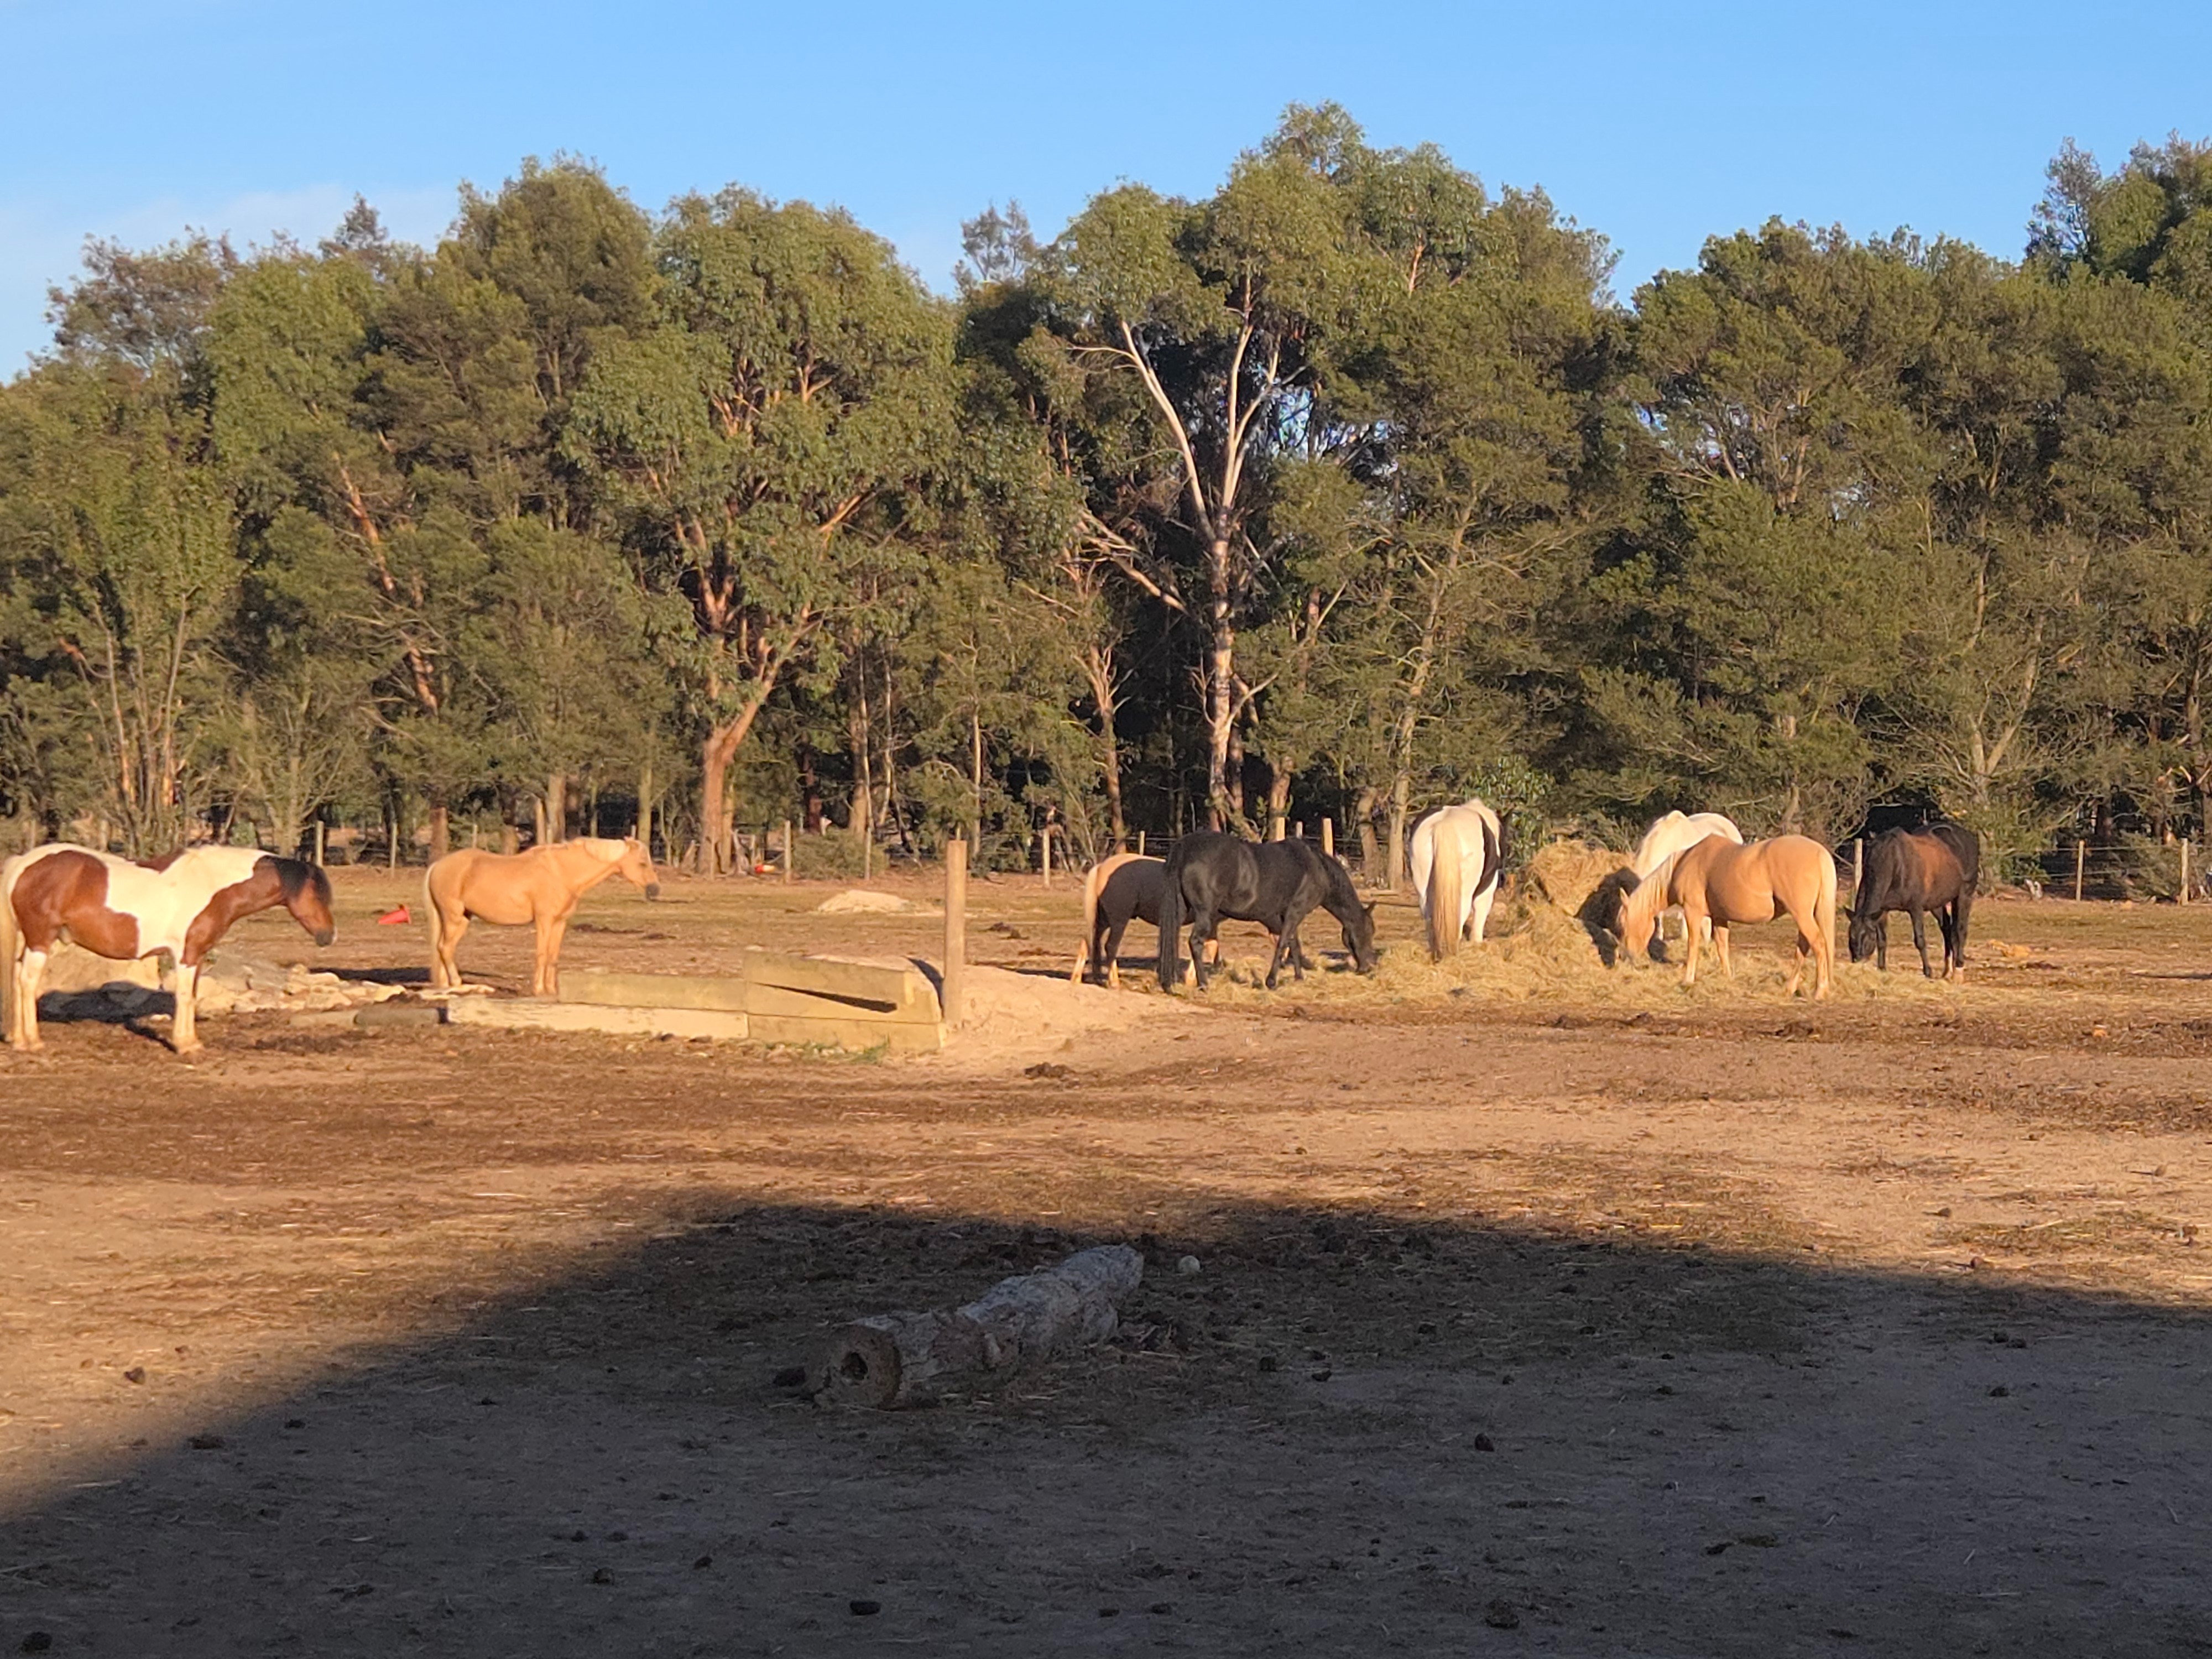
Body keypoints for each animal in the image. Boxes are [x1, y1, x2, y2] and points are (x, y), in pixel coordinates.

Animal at [1, 843, 336, 1055]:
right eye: (315, 893)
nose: (328, 936)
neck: (211, 886)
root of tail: (22, 863)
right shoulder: (186, 956)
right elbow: (185, 997)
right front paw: (185, 1045)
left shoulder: (197, 955)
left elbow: (192, 997)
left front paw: (191, 1042)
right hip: (40, 940)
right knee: (27, 982)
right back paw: (33, 1042)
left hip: (28, 940)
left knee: (17, 979)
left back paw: (18, 1039)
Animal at [425, 836, 659, 998]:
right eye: (642, 863)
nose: (655, 890)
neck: (563, 873)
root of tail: (437, 865)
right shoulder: (544, 921)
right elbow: (542, 954)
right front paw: (538, 990)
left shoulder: (559, 923)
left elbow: (553, 956)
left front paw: (551, 990)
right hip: (454, 918)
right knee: (446, 948)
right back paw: (457, 984)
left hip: (460, 919)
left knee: (443, 949)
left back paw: (447, 987)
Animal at [1157, 833, 1376, 992]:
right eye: (1369, 931)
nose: (1367, 967)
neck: (1317, 868)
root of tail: (1185, 847)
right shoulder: (1296, 911)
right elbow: (1284, 943)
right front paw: (1272, 982)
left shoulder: (1282, 916)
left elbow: (1293, 943)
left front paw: (1299, 977)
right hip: (1204, 913)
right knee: (1195, 942)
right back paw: (1204, 984)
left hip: (1181, 910)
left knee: (1173, 938)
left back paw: (1170, 982)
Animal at [1614, 833, 1838, 999]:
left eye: (1623, 924)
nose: (1626, 956)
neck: (1686, 862)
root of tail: (1820, 853)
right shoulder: (1719, 917)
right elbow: (1722, 947)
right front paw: (1728, 977)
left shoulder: (1693, 913)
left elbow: (1693, 947)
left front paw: (1688, 980)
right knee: (1804, 946)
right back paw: (1790, 988)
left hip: (1802, 915)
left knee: (1818, 944)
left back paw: (1819, 991)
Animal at [1848, 823, 1979, 979]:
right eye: (1851, 937)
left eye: (1867, 937)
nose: (1857, 961)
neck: (1894, 863)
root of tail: (1969, 838)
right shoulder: (1882, 910)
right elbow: (1882, 940)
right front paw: (1882, 969)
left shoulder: (1916, 908)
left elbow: (1920, 940)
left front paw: (1928, 971)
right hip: (1937, 902)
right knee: (1947, 928)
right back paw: (1948, 969)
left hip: (1964, 895)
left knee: (1960, 929)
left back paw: (1958, 969)